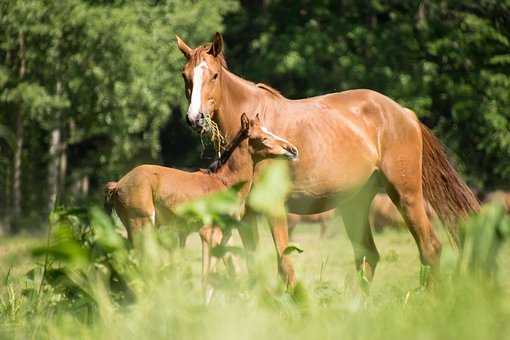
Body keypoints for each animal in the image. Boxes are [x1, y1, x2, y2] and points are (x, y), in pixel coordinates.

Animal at [103, 112, 298, 300]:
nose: (293, 150)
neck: (224, 183)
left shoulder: (224, 236)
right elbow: (206, 279)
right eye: (263, 137)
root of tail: (118, 184)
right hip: (143, 227)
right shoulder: (207, 234)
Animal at [175, 31, 478, 288]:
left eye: (214, 75)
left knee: (429, 248)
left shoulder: (274, 207)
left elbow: (285, 265)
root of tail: (404, 113)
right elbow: (254, 267)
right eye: (185, 75)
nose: (194, 118)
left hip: (406, 195)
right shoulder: (246, 216)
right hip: (355, 204)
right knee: (368, 255)